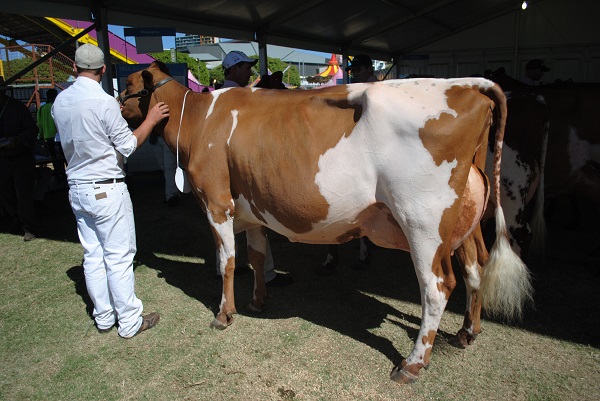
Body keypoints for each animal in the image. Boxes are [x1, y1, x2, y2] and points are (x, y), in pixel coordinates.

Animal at [120, 64, 528, 382]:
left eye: (125, 86)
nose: (116, 107)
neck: (199, 118)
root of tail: (468, 85)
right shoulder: (252, 207)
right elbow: (255, 256)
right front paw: (258, 301)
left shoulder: (217, 203)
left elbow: (227, 262)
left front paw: (224, 314)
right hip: (460, 221)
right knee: (475, 268)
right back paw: (467, 332)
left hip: (422, 221)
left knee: (437, 287)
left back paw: (412, 364)